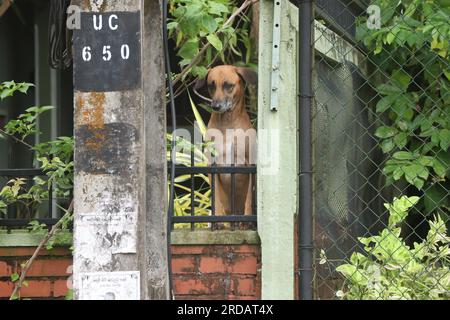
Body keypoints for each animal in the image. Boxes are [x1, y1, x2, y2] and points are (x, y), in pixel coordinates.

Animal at [196, 65, 256, 220]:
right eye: (211, 85)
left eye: (228, 85)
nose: (215, 106)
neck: (227, 122)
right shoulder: (212, 166)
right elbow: (216, 200)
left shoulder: (249, 165)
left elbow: (249, 200)